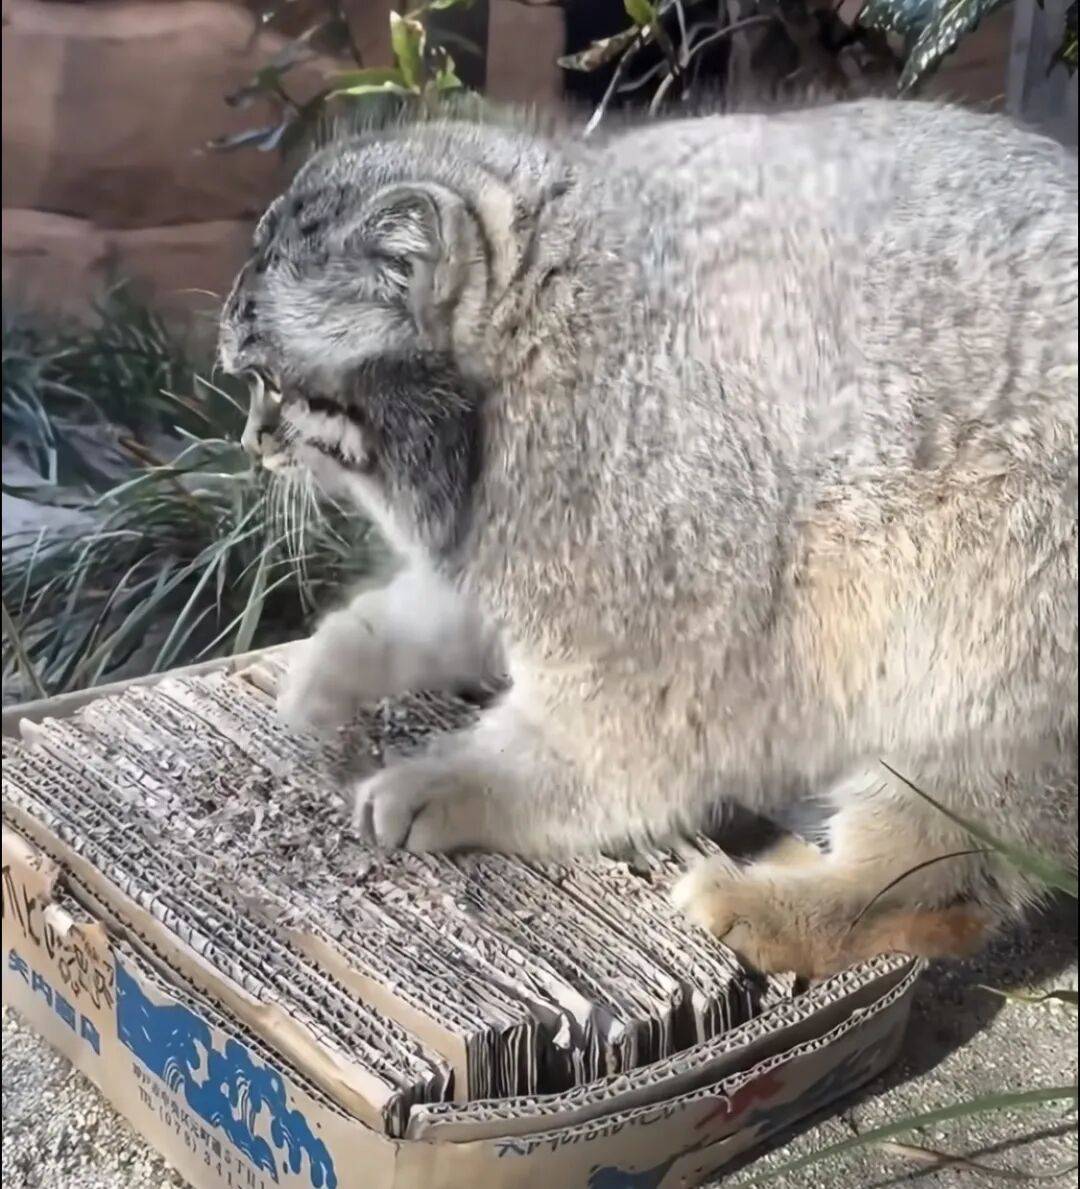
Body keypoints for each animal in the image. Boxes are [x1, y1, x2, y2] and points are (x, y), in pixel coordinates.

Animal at [218, 99, 1078, 979]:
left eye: (271, 383)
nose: (250, 441)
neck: (538, 333)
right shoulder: (502, 539)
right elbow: (423, 615)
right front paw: (331, 664)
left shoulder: (652, 627)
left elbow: (589, 751)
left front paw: (453, 780)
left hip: (979, 652)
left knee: (942, 886)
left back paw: (783, 903)